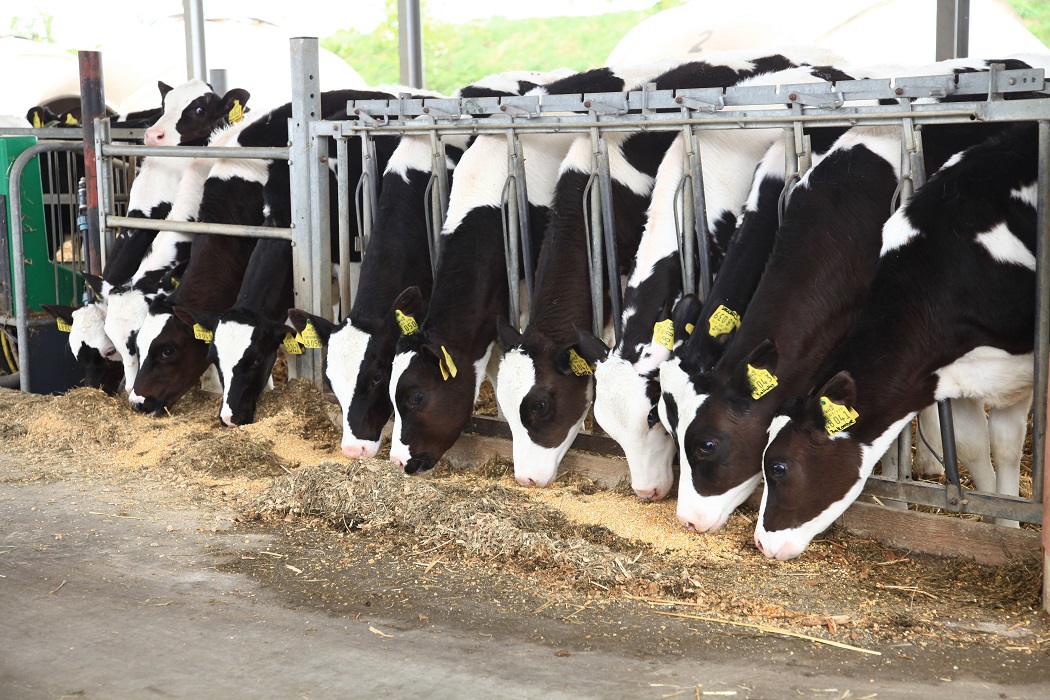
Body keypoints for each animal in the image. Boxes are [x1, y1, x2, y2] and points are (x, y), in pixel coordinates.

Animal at [755, 125, 1041, 562]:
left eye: (779, 467)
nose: (760, 541)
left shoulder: (1019, 369)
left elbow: (1006, 449)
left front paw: (1008, 529)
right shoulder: (952, 375)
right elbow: (975, 449)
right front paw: (995, 524)